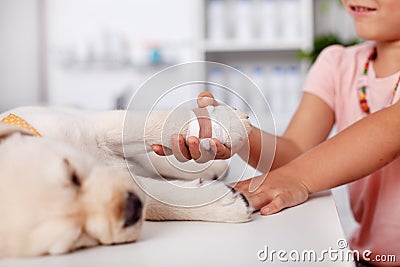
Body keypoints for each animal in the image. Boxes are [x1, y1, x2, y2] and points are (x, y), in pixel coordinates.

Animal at [0, 105, 253, 258]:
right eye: (79, 236)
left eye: (72, 175)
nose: (130, 208)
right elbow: (159, 199)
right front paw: (222, 206)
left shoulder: (94, 126)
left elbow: (153, 124)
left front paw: (227, 126)